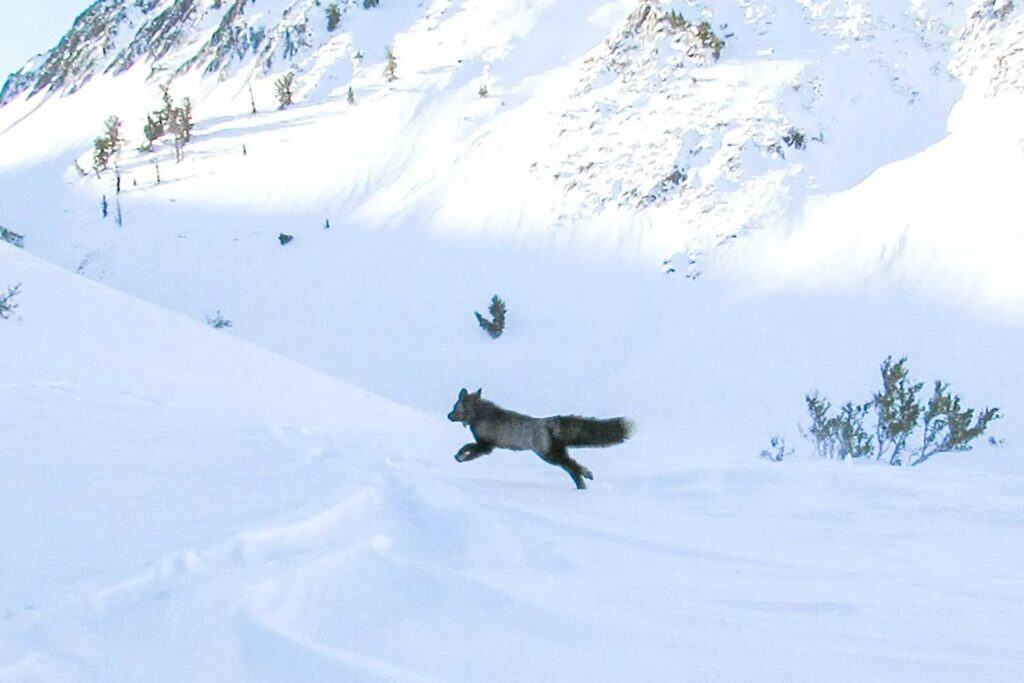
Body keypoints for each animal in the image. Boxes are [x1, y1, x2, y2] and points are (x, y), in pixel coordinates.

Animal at [447, 388, 633, 490]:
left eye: (455, 407)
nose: (448, 416)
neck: (480, 416)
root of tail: (551, 422)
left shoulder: (486, 445)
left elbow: (467, 447)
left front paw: (459, 457)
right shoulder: (487, 446)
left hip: (549, 455)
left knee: (573, 467)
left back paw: (585, 480)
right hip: (554, 455)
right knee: (573, 467)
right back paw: (584, 481)